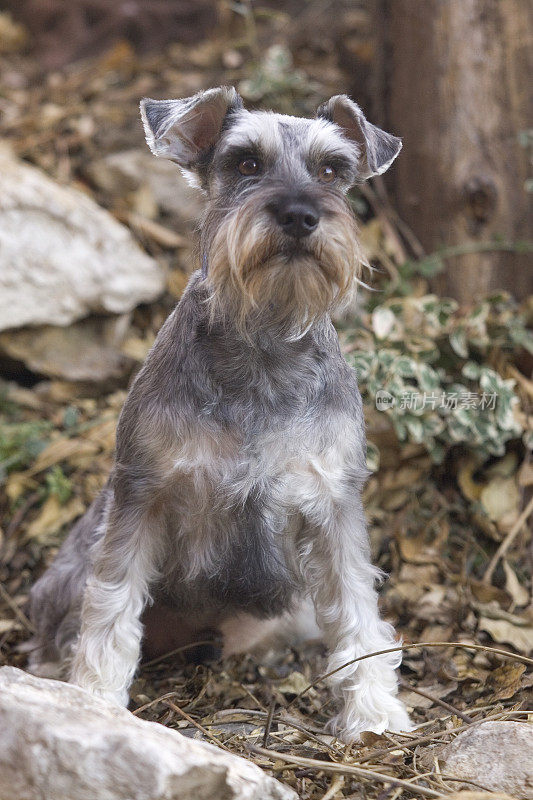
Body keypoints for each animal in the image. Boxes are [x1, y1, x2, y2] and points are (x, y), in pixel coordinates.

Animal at [27, 84, 410, 740]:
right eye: (246, 162)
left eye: (332, 170)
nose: (300, 216)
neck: (263, 344)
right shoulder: (142, 496)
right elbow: (110, 604)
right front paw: (96, 698)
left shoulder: (333, 504)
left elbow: (359, 608)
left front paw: (374, 712)